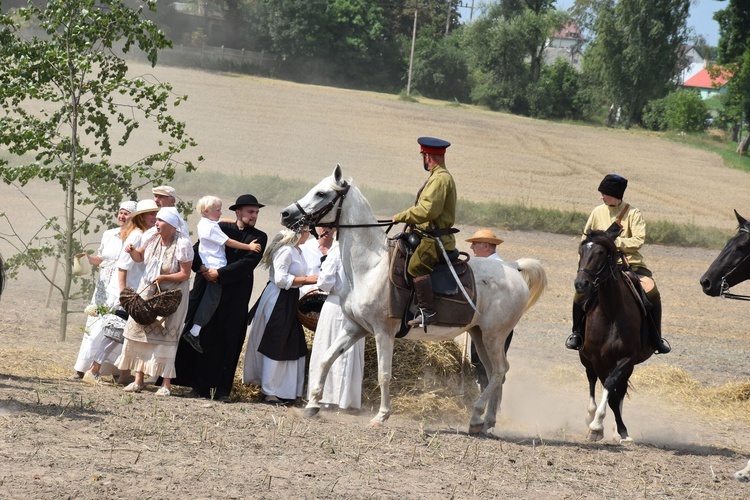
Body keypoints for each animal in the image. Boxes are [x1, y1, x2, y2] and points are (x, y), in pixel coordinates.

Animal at [282, 166, 548, 436]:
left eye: (321, 193)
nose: (286, 214)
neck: (370, 267)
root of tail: (512, 268)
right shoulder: (354, 328)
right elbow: (326, 359)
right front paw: (312, 405)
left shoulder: (383, 332)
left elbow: (384, 374)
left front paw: (381, 416)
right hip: (479, 335)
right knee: (495, 373)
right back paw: (486, 421)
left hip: (494, 336)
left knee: (499, 371)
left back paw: (476, 415)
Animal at [580, 230, 656, 442]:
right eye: (580, 251)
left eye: (600, 253)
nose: (580, 283)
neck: (611, 311)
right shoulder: (596, 358)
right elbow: (608, 391)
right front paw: (596, 427)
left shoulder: (627, 358)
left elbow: (612, 388)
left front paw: (618, 429)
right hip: (586, 358)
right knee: (591, 380)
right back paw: (590, 415)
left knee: (619, 389)